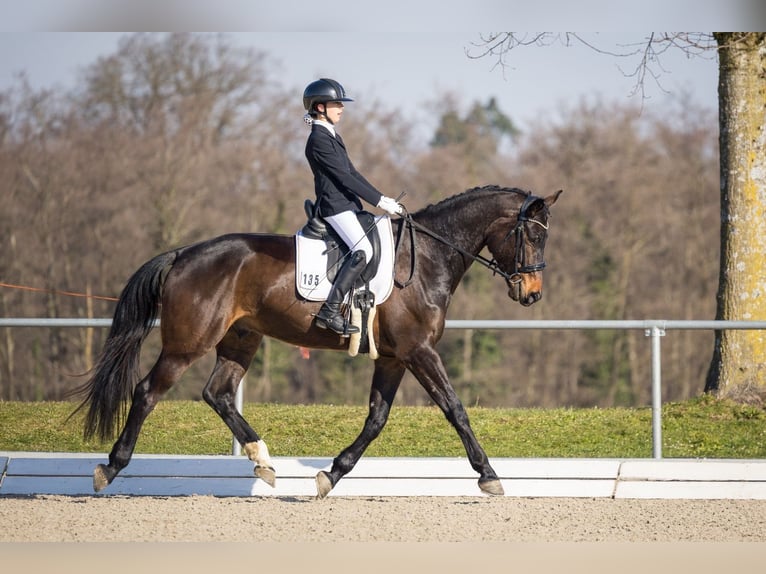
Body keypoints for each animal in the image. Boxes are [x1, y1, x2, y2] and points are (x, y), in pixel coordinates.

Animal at [74, 184, 562, 497]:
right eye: (532, 235)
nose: (532, 294)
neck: (425, 259)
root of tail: (182, 255)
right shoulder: (419, 351)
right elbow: (455, 409)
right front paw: (489, 475)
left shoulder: (393, 358)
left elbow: (376, 419)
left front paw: (332, 474)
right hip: (187, 343)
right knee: (147, 391)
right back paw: (110, 468)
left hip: (241, 339)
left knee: (219, 393)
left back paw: (263, 462)